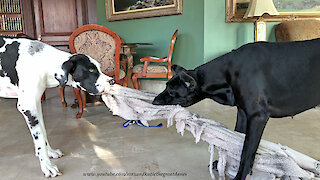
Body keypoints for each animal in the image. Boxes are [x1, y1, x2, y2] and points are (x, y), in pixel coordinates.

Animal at [0, 36, 114, 177]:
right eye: (91, 70)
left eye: (98, 67)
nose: (112, 81)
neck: (38, 59)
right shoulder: (28, 107)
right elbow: (39, 139)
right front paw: (47, 166)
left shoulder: (36, 104)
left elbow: (43, 131)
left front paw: (50, 152)